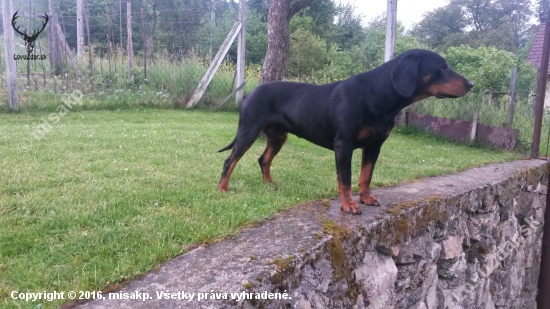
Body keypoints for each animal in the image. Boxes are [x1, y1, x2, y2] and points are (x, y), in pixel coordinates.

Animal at [219, 49, 474, 214]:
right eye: (442, 67)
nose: (471, 84)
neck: (378, 94)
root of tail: (249, 93)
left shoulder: (374, 145)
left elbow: (366, 176)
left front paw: (366, 198)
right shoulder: (344, 145)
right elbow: (346, 178)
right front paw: (348, 205)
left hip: (278, 136)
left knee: (264, 159)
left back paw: (269, 184)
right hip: (249, 131)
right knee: (229, 161)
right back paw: (223, 190)